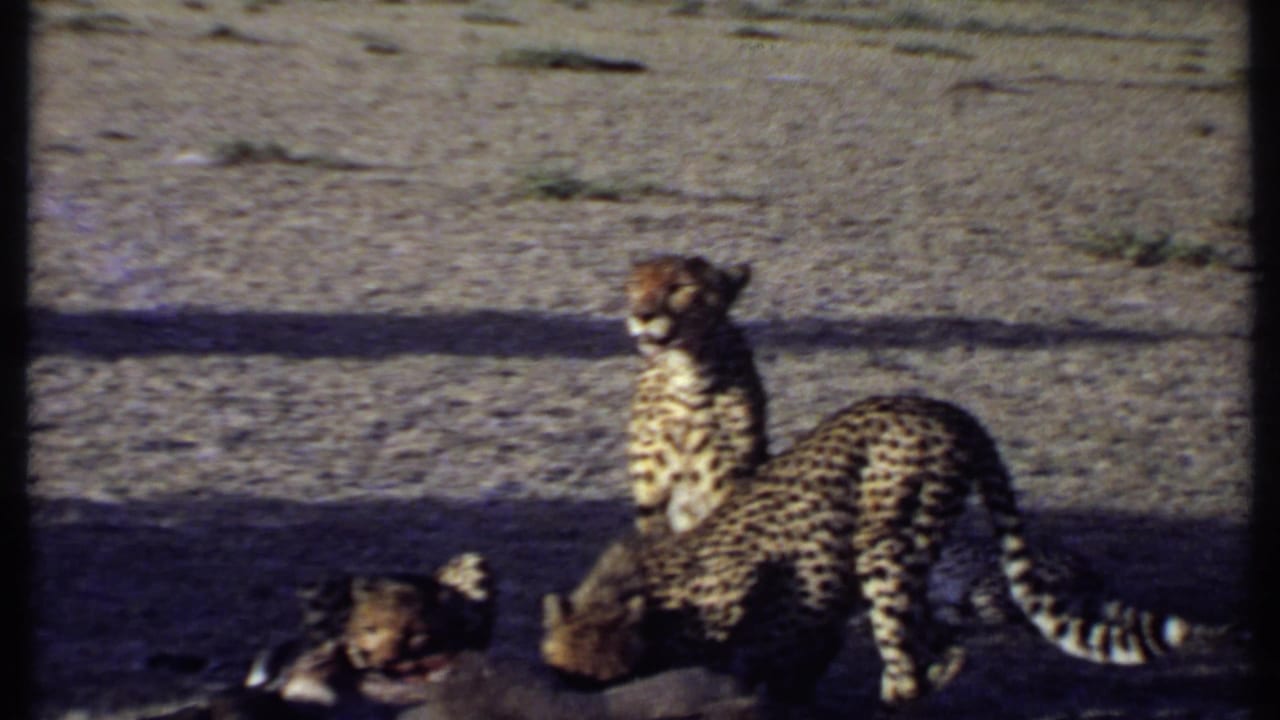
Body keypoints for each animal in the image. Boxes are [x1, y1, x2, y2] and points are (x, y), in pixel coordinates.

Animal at [543, 396, 1232, 708]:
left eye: (599, 679)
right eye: (564, 676)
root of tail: (945, 408)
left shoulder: (790, 601)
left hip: (888, 546)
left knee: (911, 668)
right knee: (944, 648)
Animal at [625, 254, 769, 536]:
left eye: (679, 286)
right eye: (636, 285)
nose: (643, 315)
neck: (685, 368)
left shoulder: (727, 480)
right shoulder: (651, 490)